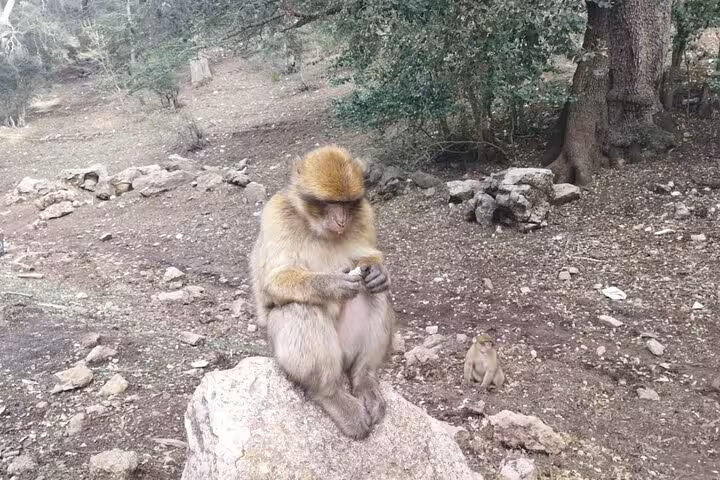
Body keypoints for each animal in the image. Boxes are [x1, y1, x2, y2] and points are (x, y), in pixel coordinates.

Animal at [249, 145, 395, 440]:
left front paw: (378, 272)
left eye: (347, 204)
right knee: (300, 307)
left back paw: (365, 379)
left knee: (375, 295)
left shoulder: (365, 214)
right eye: (329, 203)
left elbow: (371, 259)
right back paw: (330, 393)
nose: (341, 221)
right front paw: (332, 283)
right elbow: (275, 280)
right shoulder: (276, 215)